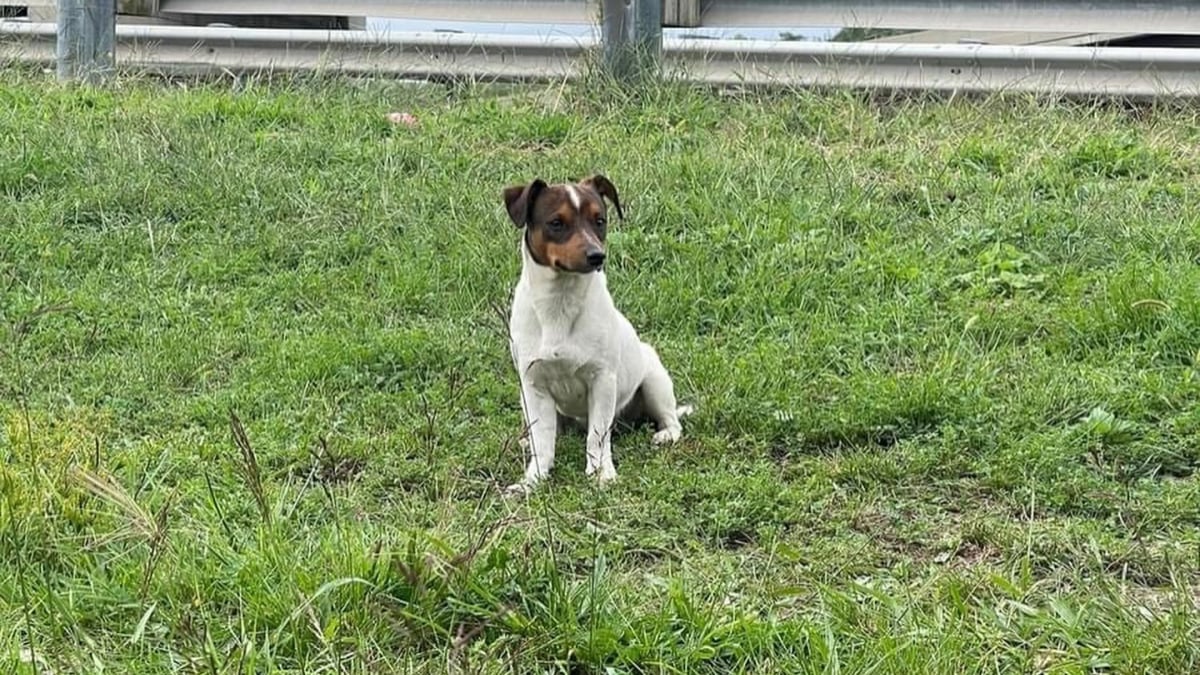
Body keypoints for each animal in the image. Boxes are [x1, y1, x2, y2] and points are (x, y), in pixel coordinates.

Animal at [501, 172, 691, 492]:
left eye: (599, 220)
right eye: (556, 222)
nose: (597, 256)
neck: (560, 304)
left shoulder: (601, 381)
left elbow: (598, 437)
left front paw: (601, 472)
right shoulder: (533, 384)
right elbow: (543, 443)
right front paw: (533, 479)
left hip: (655, 380)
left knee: (670, 420)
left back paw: (665, 434)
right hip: (524, 398)